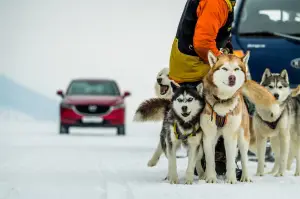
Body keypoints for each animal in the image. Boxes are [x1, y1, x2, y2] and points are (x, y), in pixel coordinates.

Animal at [200, 50, 280, 184]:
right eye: (224, 68)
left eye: (236, 69)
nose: (232, 77)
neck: (223, 102)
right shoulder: (209, 136)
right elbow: (210, 160)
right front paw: (211, 178)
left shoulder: (231, 135)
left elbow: (231, 161)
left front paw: (231, 179)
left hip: (243, 136)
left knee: (243, 157)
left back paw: (245, 176)